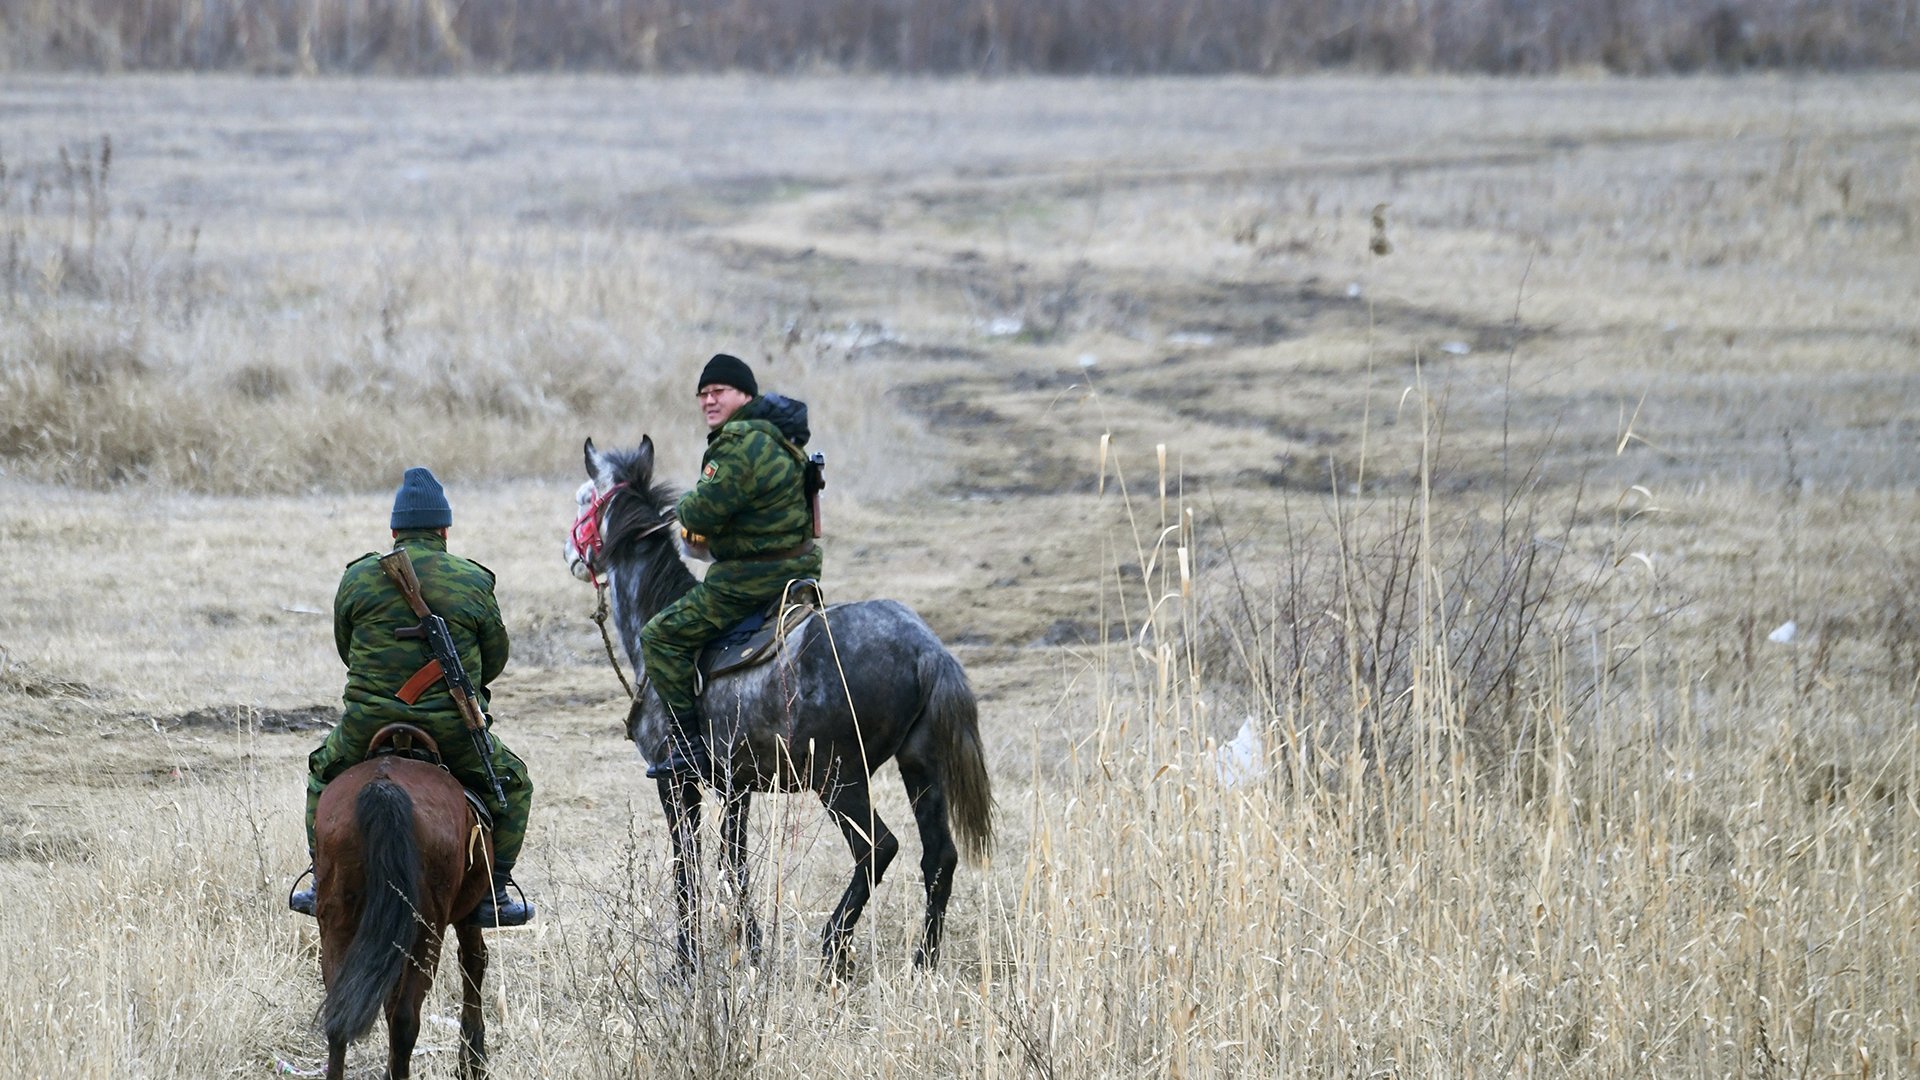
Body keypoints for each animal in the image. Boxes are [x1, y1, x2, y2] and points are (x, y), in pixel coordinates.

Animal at [314, 722, 495, 1076]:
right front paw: (472, 1060)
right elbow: (473, 961)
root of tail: (384, 786)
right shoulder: (469, 913)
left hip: (338, 920)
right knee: (405, 1019)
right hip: (426, 930)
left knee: (339, 1016)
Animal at [564, 432, 990, 972]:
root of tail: (926, 649)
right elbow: (734, 862)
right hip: (920, 766)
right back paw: (923, 961)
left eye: (584, 498)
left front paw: (686, 963)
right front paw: (752, 949)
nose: (570, 554)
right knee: (939, 855)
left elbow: (688, 866)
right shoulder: (737, 787)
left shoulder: (676, 782)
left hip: (839, 779)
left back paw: (834, 948)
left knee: (878, 849)